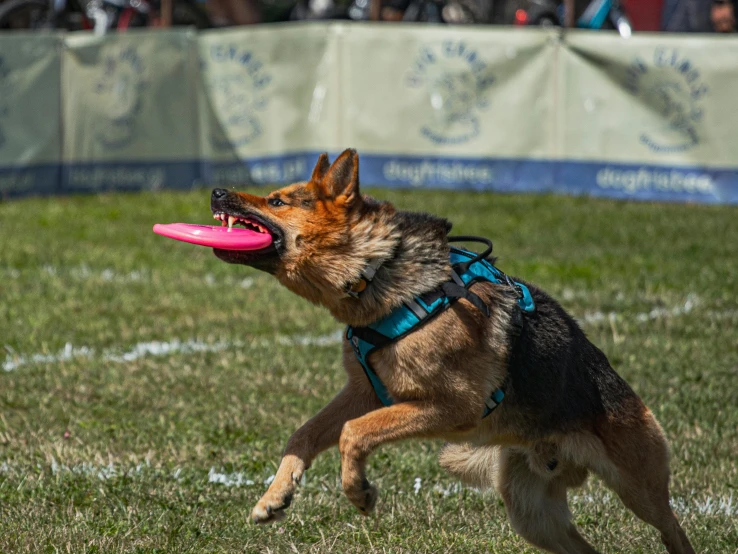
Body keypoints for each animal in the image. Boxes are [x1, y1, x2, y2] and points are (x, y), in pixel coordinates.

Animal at [208, 148, 696, 552]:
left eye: (277, 202)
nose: (215, 190)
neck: (377, 270)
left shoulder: (453, 405)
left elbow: (354, 432)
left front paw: (359, 491)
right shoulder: (364, 391)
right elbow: (305, 433)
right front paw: (275, 495)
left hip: (638, 485)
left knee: (672, 527)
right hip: (532, 515)